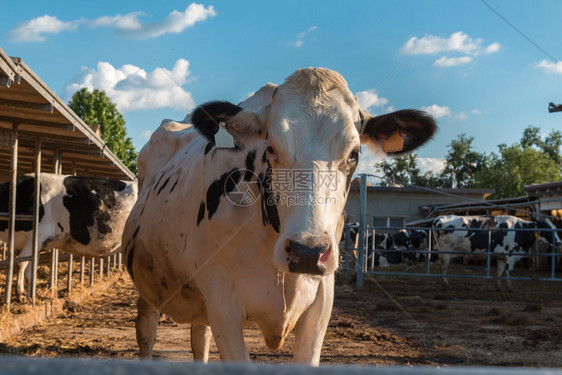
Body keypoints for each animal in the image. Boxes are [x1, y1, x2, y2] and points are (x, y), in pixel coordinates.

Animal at [0, 173, 137, 300]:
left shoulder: (38, 235)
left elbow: (21, 264)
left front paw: (20, 295)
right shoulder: (35, 243)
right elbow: (30, 268)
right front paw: (29, 297)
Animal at [123, 67, 438, 364]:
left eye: (354, 154)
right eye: (271, 148)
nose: (308, 251)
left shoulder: (321, 301)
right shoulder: (223, 304)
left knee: (200, 337)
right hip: (149, 285)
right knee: (146, 330)